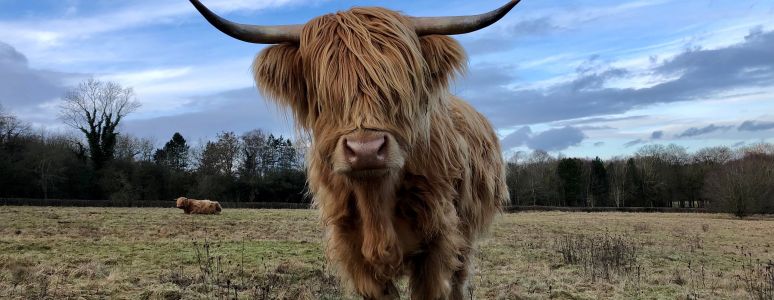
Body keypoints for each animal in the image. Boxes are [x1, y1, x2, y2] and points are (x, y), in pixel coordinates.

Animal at [189, 1, 520, 298]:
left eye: (399, 88)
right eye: (324, 95)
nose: (366, 150)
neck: (376, 203)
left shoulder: (439, 244)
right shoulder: (351, 250)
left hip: (465, 236)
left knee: (460, 281)